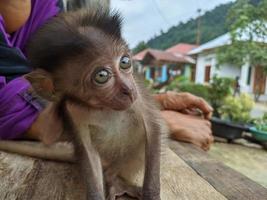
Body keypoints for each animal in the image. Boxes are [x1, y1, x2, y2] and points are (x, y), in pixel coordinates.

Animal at [1, 7, 168, 200]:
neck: (104, 107)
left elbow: (152, 129)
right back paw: (113, 181)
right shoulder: (72, 108)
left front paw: (151, 194)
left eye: (125, 62)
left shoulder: (138, 96)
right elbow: (88, 152)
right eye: (102, 76)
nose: (127, 89)